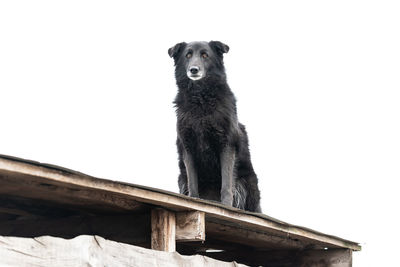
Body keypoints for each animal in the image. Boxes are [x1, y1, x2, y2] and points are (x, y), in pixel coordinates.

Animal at [169, 41, 262, 214]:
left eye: (205, 55)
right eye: (188, 55)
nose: (194, 70)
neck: (200, 99)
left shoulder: (226, 145)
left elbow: (226, 183)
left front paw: (226, 206)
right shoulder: (187, 147)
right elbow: (193, 182)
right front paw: (194, 200)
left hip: (250, 184)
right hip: (181, 177)